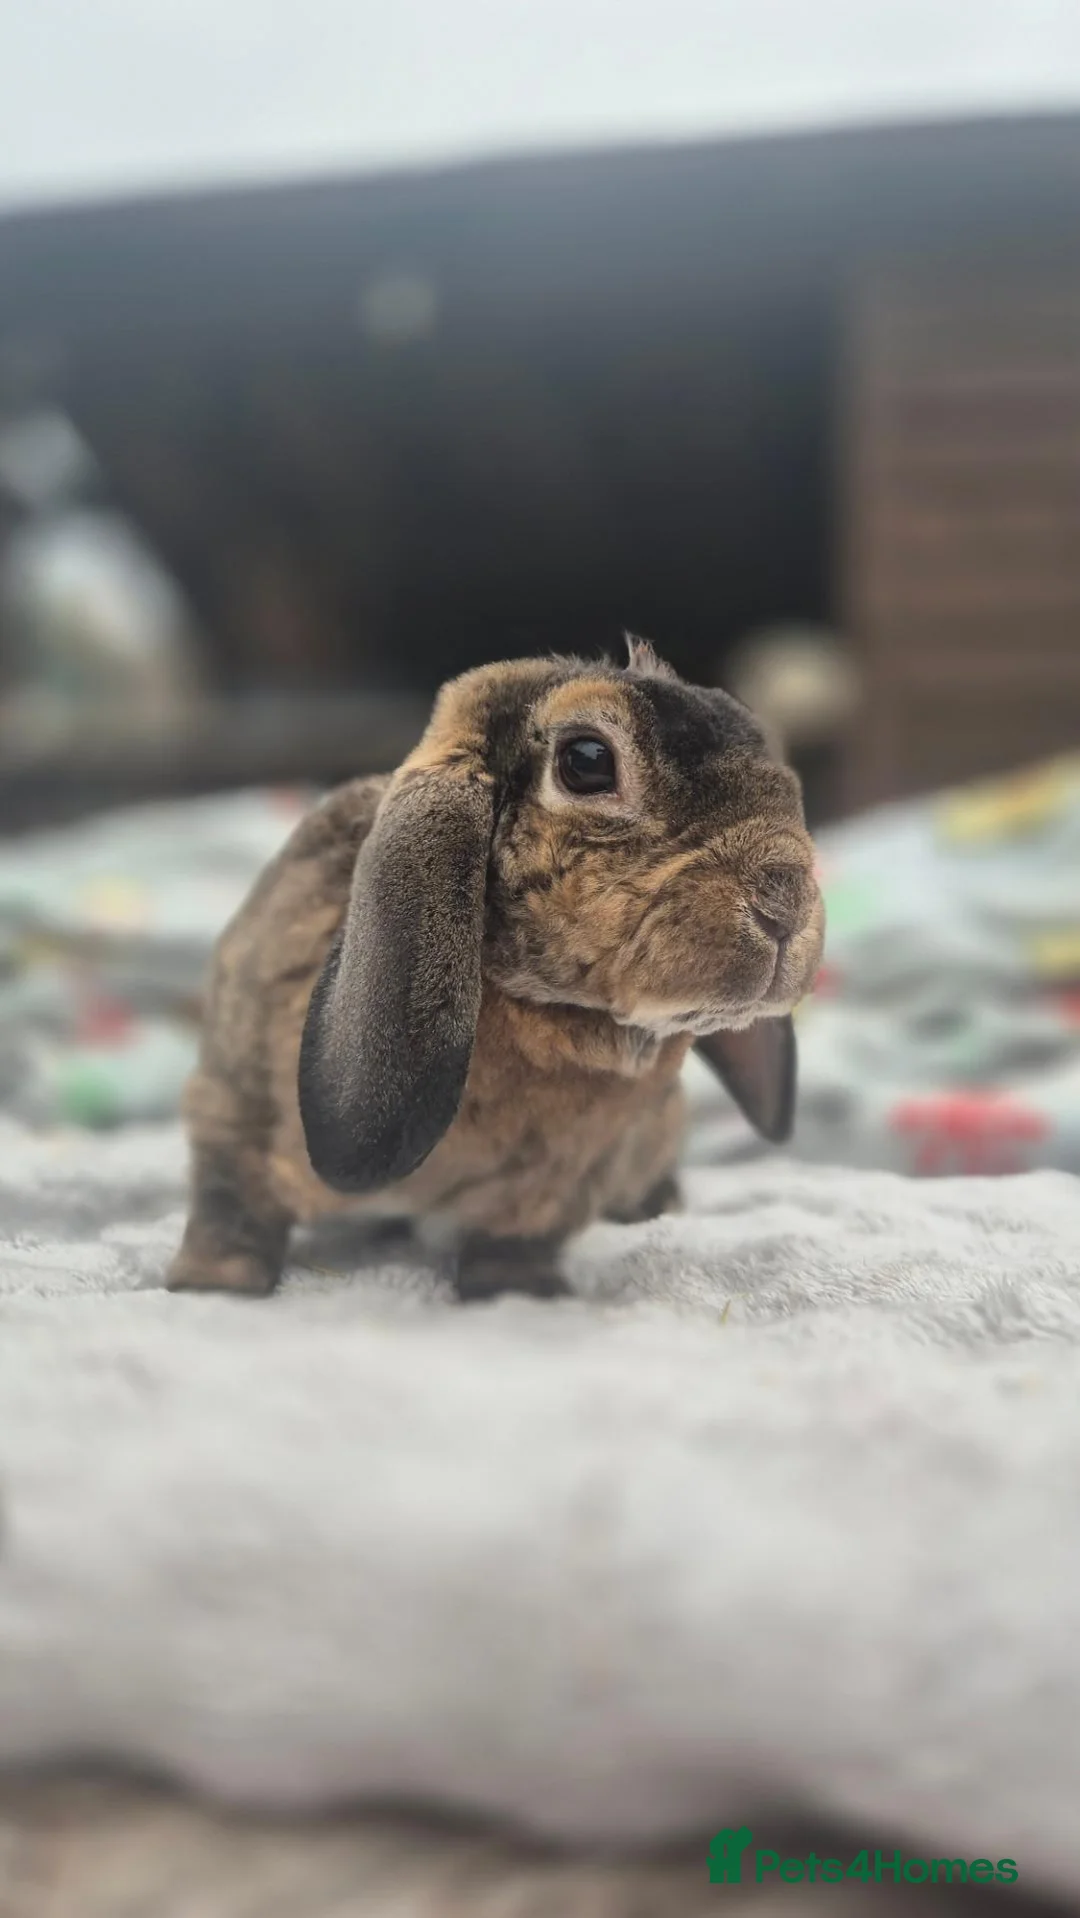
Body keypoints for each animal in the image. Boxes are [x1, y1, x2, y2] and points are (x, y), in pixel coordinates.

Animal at [167, 637, 824, 1302]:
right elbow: (232, 1207)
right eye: (587, 760)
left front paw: (520, 1292)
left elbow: (515, 1239)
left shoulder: (558, 1183)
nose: (783, 901)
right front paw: (213, 1284)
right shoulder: (233, 1115)